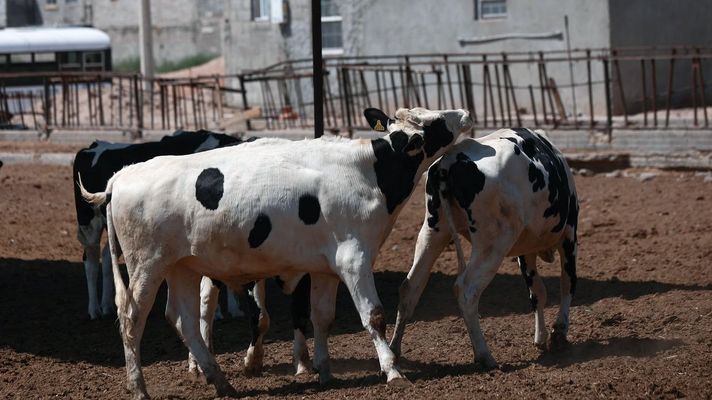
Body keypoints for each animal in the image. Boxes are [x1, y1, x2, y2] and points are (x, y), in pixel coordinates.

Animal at [79, 107, 473, 399]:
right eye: (435, 123)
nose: (465, 113)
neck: (368, 171)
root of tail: (121, 176)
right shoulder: (354, 258)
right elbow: (373, 316)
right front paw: (392, 370)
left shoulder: (327, 267)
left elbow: (321, 317)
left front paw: (324, 370)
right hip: (146, 265)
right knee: (133, 319)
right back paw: (139, 387)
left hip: (182, 267)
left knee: (183, 319)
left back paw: (220, 380)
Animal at [389, 128, 578, 369]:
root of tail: (449, 163)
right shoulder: (569, 234)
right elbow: (567, 282)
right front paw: (559, 332)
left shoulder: (526, 250)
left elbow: (537, 292)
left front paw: (541, 337)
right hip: (493, 243)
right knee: (466, 290)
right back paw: (484, 355)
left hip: (434, 231)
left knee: (410, 287)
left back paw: (394, 350)